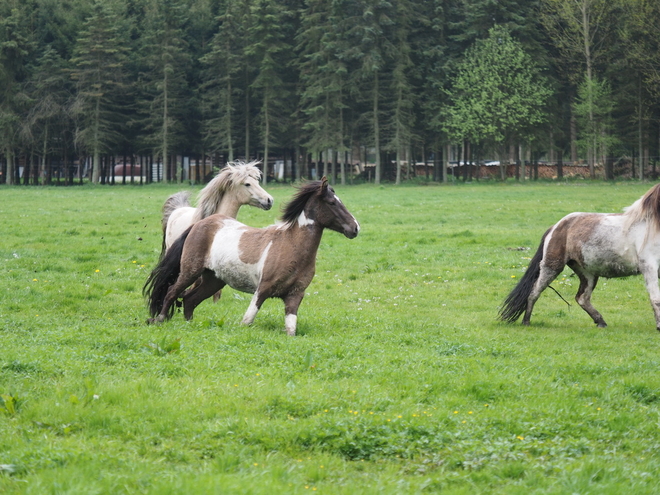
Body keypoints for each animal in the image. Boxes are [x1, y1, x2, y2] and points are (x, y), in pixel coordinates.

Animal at [145, 178, 360, 338]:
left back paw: (190, 326)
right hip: (190, 271)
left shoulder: (295, 295)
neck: (291, 246)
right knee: (172, 292)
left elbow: (291, 329)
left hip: (214, 280)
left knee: (189, 300)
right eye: (332, 202)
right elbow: (247, 320)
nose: (355, 228)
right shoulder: (262, 290)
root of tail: (199, 224)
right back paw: (159, 320)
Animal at [498, 184, 660, 332]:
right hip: (552, 267)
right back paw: (526, 321)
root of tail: (556, 227)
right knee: (534, 292)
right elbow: (655, 299)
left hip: (588, 273)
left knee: (582, 298)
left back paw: (600, 322)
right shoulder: (649, 268)